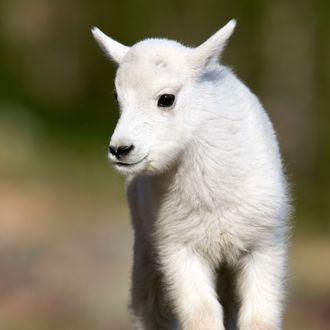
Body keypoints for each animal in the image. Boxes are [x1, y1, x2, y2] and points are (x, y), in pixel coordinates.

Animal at [91, 20, 290, 330]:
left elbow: (259, 317)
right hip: (146, 248)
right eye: (117, 97)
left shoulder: (263, 245)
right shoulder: (180, 248)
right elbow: (201, 313)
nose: (120, 149)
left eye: (166, 99)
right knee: (150, 311)